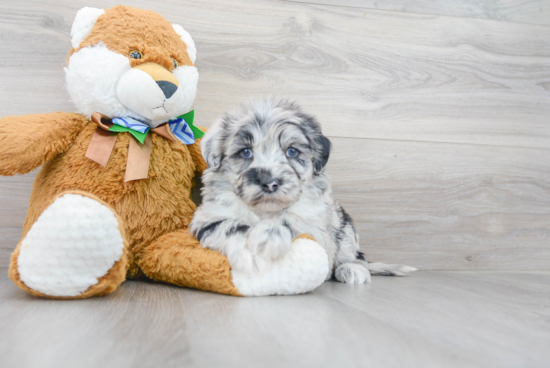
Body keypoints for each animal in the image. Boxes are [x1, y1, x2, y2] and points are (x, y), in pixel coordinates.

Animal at [192, 98, 416, 284]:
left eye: (292, 151)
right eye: (245, 152)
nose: (269, 182)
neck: (264, 211)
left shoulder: (317, 226)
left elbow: (290, 218)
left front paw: (269, 234)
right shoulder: (208, 217)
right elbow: (231, 225)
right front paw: (251, 250)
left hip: (346, 227)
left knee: (355, 256)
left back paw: (351, 269)